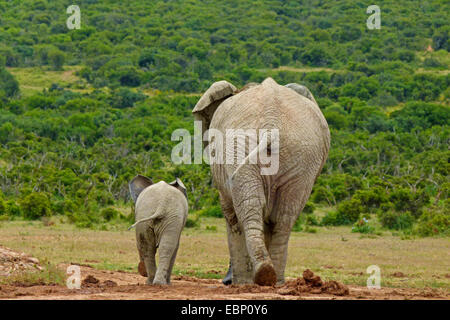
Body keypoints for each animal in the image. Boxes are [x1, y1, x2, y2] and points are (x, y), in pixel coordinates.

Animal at [193, 77, 330, 284]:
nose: (226, 281)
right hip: (301, 155)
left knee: (248, 211)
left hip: (242, 147)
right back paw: (272, 278)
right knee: (284, 217)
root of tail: (271, 123)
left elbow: (230, 213)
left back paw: (251, 280)